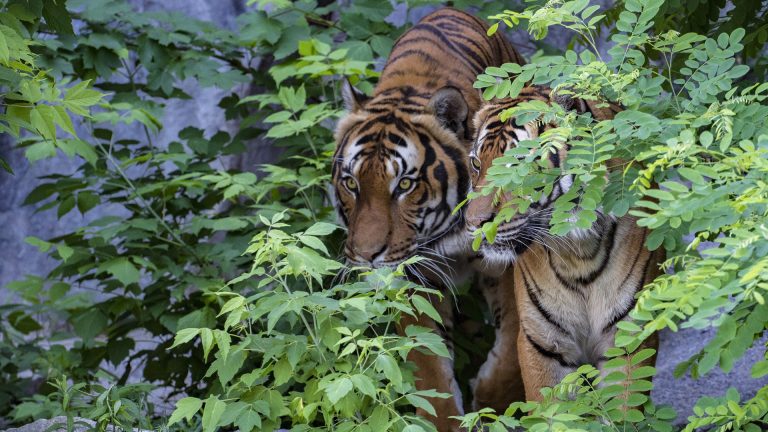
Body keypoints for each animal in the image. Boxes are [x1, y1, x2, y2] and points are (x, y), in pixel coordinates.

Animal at [331, 7, 526, 430]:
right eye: (351, 183)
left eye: (404, 184)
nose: (366, 256)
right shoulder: (412, 276)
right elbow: (428, 366)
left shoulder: (504, 261)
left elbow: (511, 348)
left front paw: (492, 403)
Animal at [464, 86, 664, 403]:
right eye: (476, 163)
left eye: (519, 166)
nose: (473, 224)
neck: (580, 253)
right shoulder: (542, 342)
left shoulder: (628, 336)